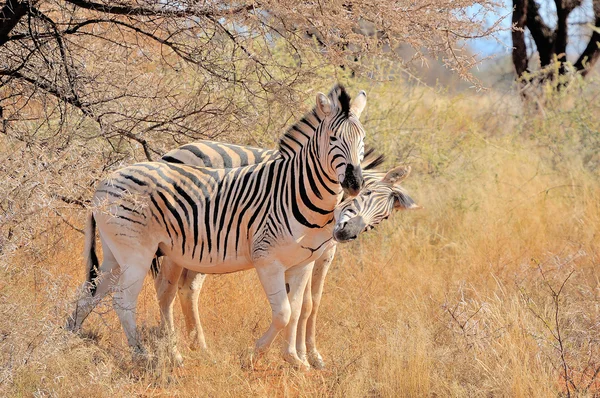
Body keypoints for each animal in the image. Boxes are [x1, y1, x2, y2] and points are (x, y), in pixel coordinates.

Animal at [65, 85, 366, 368]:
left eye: (362, 140)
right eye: (333, 139)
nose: (354, 184)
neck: (296, 190)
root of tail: (104, 182)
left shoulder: (302, 262)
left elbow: (297, 308)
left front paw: (295, 359)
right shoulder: (268, 259)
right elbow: (284, 313)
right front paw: (255, 354)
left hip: (116, 254)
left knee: (92, 293)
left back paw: (69, 339)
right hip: (136, 253)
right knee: (124, 301)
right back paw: (143, 356)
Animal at [152, 141, 420, 368]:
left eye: (382, 218)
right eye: (365, 194)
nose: (347, 233)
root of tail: (178, 149)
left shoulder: (325, 252)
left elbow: (312, 302)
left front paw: (310, 355)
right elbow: (305, 304)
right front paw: (303, 355)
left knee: (189, 289)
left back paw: (201, 349)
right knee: (167, 288)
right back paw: (175, 350)